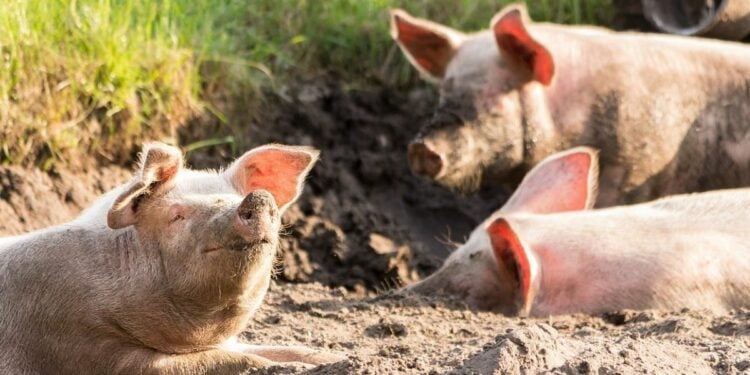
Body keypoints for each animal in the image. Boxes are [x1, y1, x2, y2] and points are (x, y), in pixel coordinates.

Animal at [0, 142, 344, 374]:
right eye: (177, 216)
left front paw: (335, 359)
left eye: (234, 198)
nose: (258, 198)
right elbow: (229, 360)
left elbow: (290, 349)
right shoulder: (86, 345)